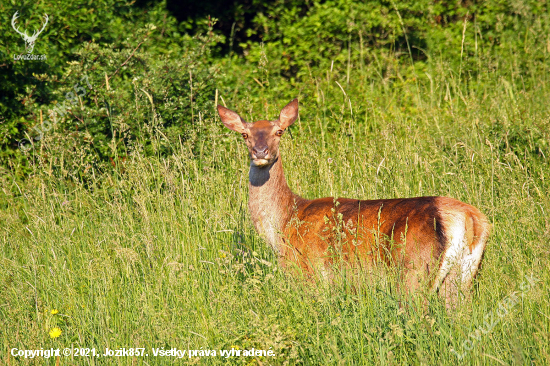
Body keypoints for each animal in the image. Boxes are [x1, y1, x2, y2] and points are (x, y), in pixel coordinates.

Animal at [220, 98, 492, 304]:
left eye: (279, 131)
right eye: (244, 134)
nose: (260, 152)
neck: (284, 223)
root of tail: (469, 218)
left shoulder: (307, 273)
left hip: (413, 269)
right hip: (463, 275)